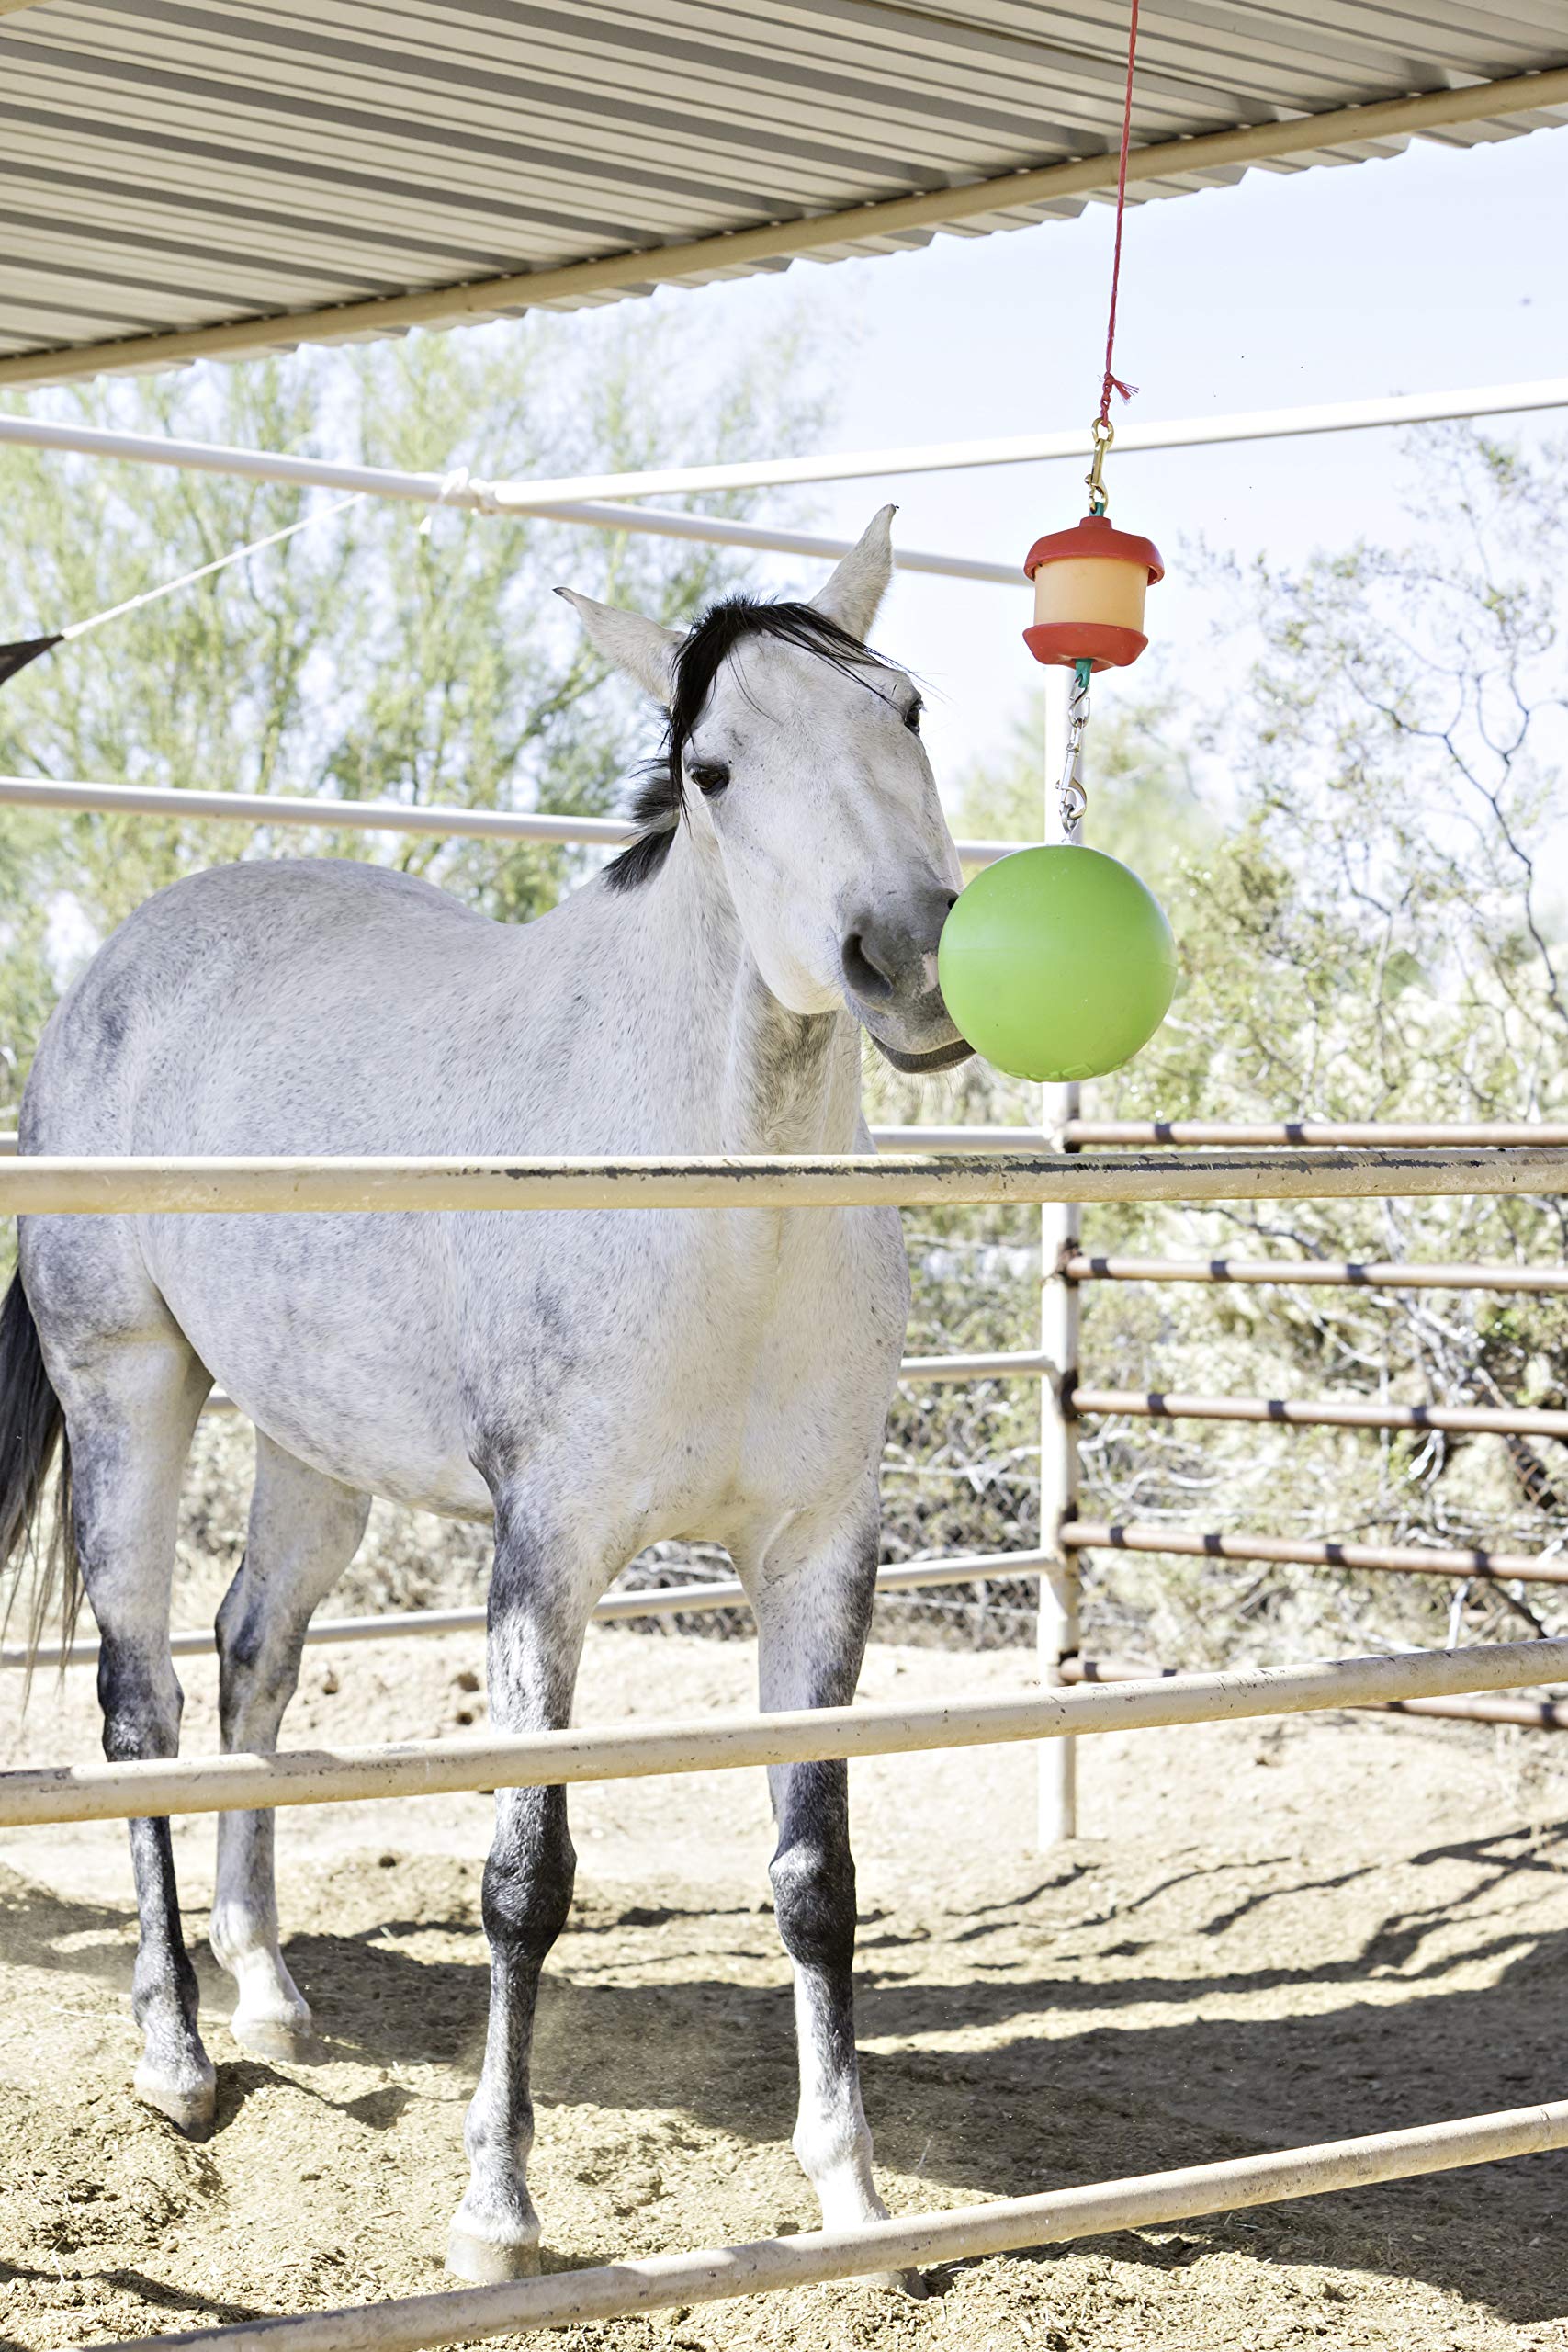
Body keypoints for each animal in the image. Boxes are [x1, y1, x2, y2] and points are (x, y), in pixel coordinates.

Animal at [0, 508, 971, 2283]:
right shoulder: (547, 1555)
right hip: (130, 1391)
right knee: (142, 1702)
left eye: (908, 710)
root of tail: (122, 963)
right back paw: (176, 2054)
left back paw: (269, 1995)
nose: (907, 957)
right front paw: (495, 2215)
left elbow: (813, 1873)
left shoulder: (819, 1552)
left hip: (311, 1447)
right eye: (712, 769)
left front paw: (854, 2201)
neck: (718, 1212)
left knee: (253, 1660)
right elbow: (527, 1872)